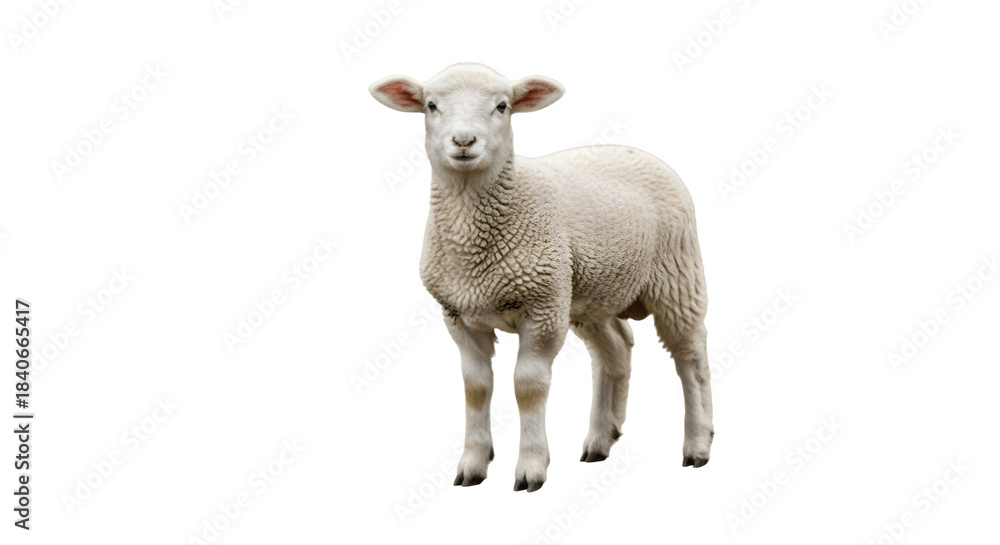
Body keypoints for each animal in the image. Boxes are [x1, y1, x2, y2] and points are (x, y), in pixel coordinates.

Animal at [369, 63, 713, 492]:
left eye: (502, 106)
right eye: (431, 105)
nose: (464, 141)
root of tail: (637, 152)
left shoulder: (543, 310)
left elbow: (528, 386)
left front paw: (531, 467)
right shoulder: (460, 315)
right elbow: (476, 387)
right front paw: (472, 465)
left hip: (677, 274)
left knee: (690, 357)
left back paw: (698, 444)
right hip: (588, 293)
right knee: (615, 350)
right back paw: (601, 439)